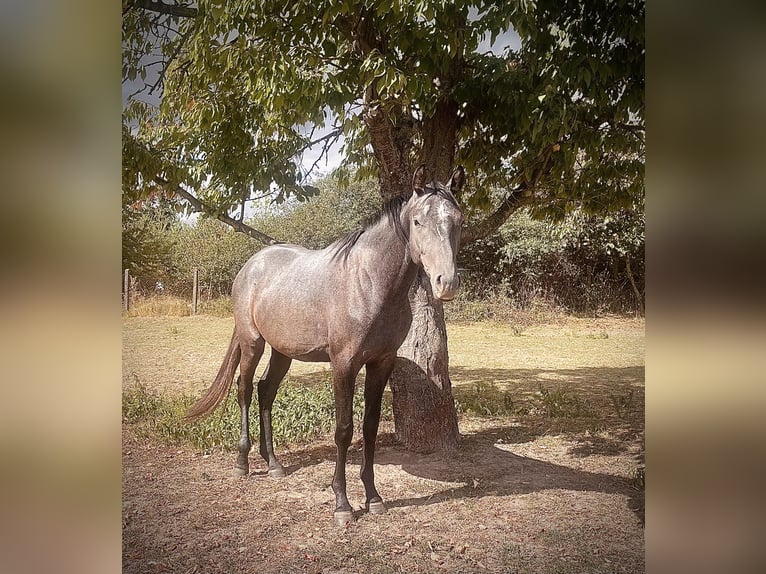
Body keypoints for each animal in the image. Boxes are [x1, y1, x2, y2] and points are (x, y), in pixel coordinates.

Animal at [185, 164, 465, 525]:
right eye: (418, 221)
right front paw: (342, 505)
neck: (369, 283)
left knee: (265, 391)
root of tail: (252, 265)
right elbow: (344, 429)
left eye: (458, 221)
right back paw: (242, 463)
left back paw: (273, 463)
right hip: (252, 343)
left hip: (282, 352)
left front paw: (373, 498)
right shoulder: (344, 364)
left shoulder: (381, 362)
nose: (447, 282)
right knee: (245, 389)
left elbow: (370, 426)